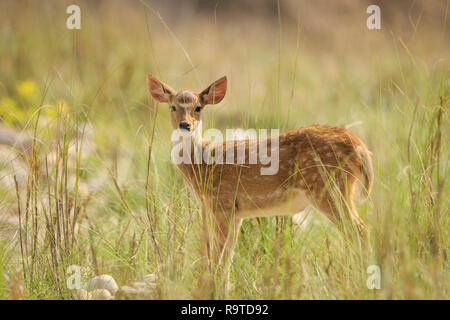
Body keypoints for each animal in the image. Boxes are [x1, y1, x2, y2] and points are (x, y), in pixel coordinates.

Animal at [147, 73, 372, 280]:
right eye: (173, 107)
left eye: (198, 107)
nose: (185, 125)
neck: (203, 165)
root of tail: (360, 146)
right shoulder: (233, 212)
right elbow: (227, 257)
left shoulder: (223, 203)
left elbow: (218, 256)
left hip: (328, 188)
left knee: (359, 231)